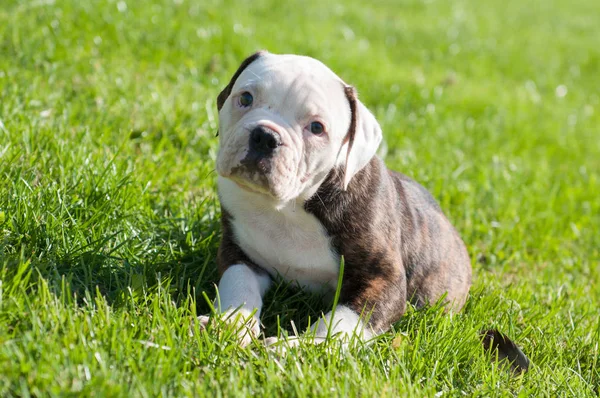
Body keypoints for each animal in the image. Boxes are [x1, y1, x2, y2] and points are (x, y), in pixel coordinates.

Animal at [202, 52, 474, 346]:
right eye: (246, 98)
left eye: (316, 128)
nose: (265, 136)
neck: (288, 208)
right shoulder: (238, 253)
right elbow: (239, 285)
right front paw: (226, 324)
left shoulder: (383, 280)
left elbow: (340, 323)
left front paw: (300, 348)